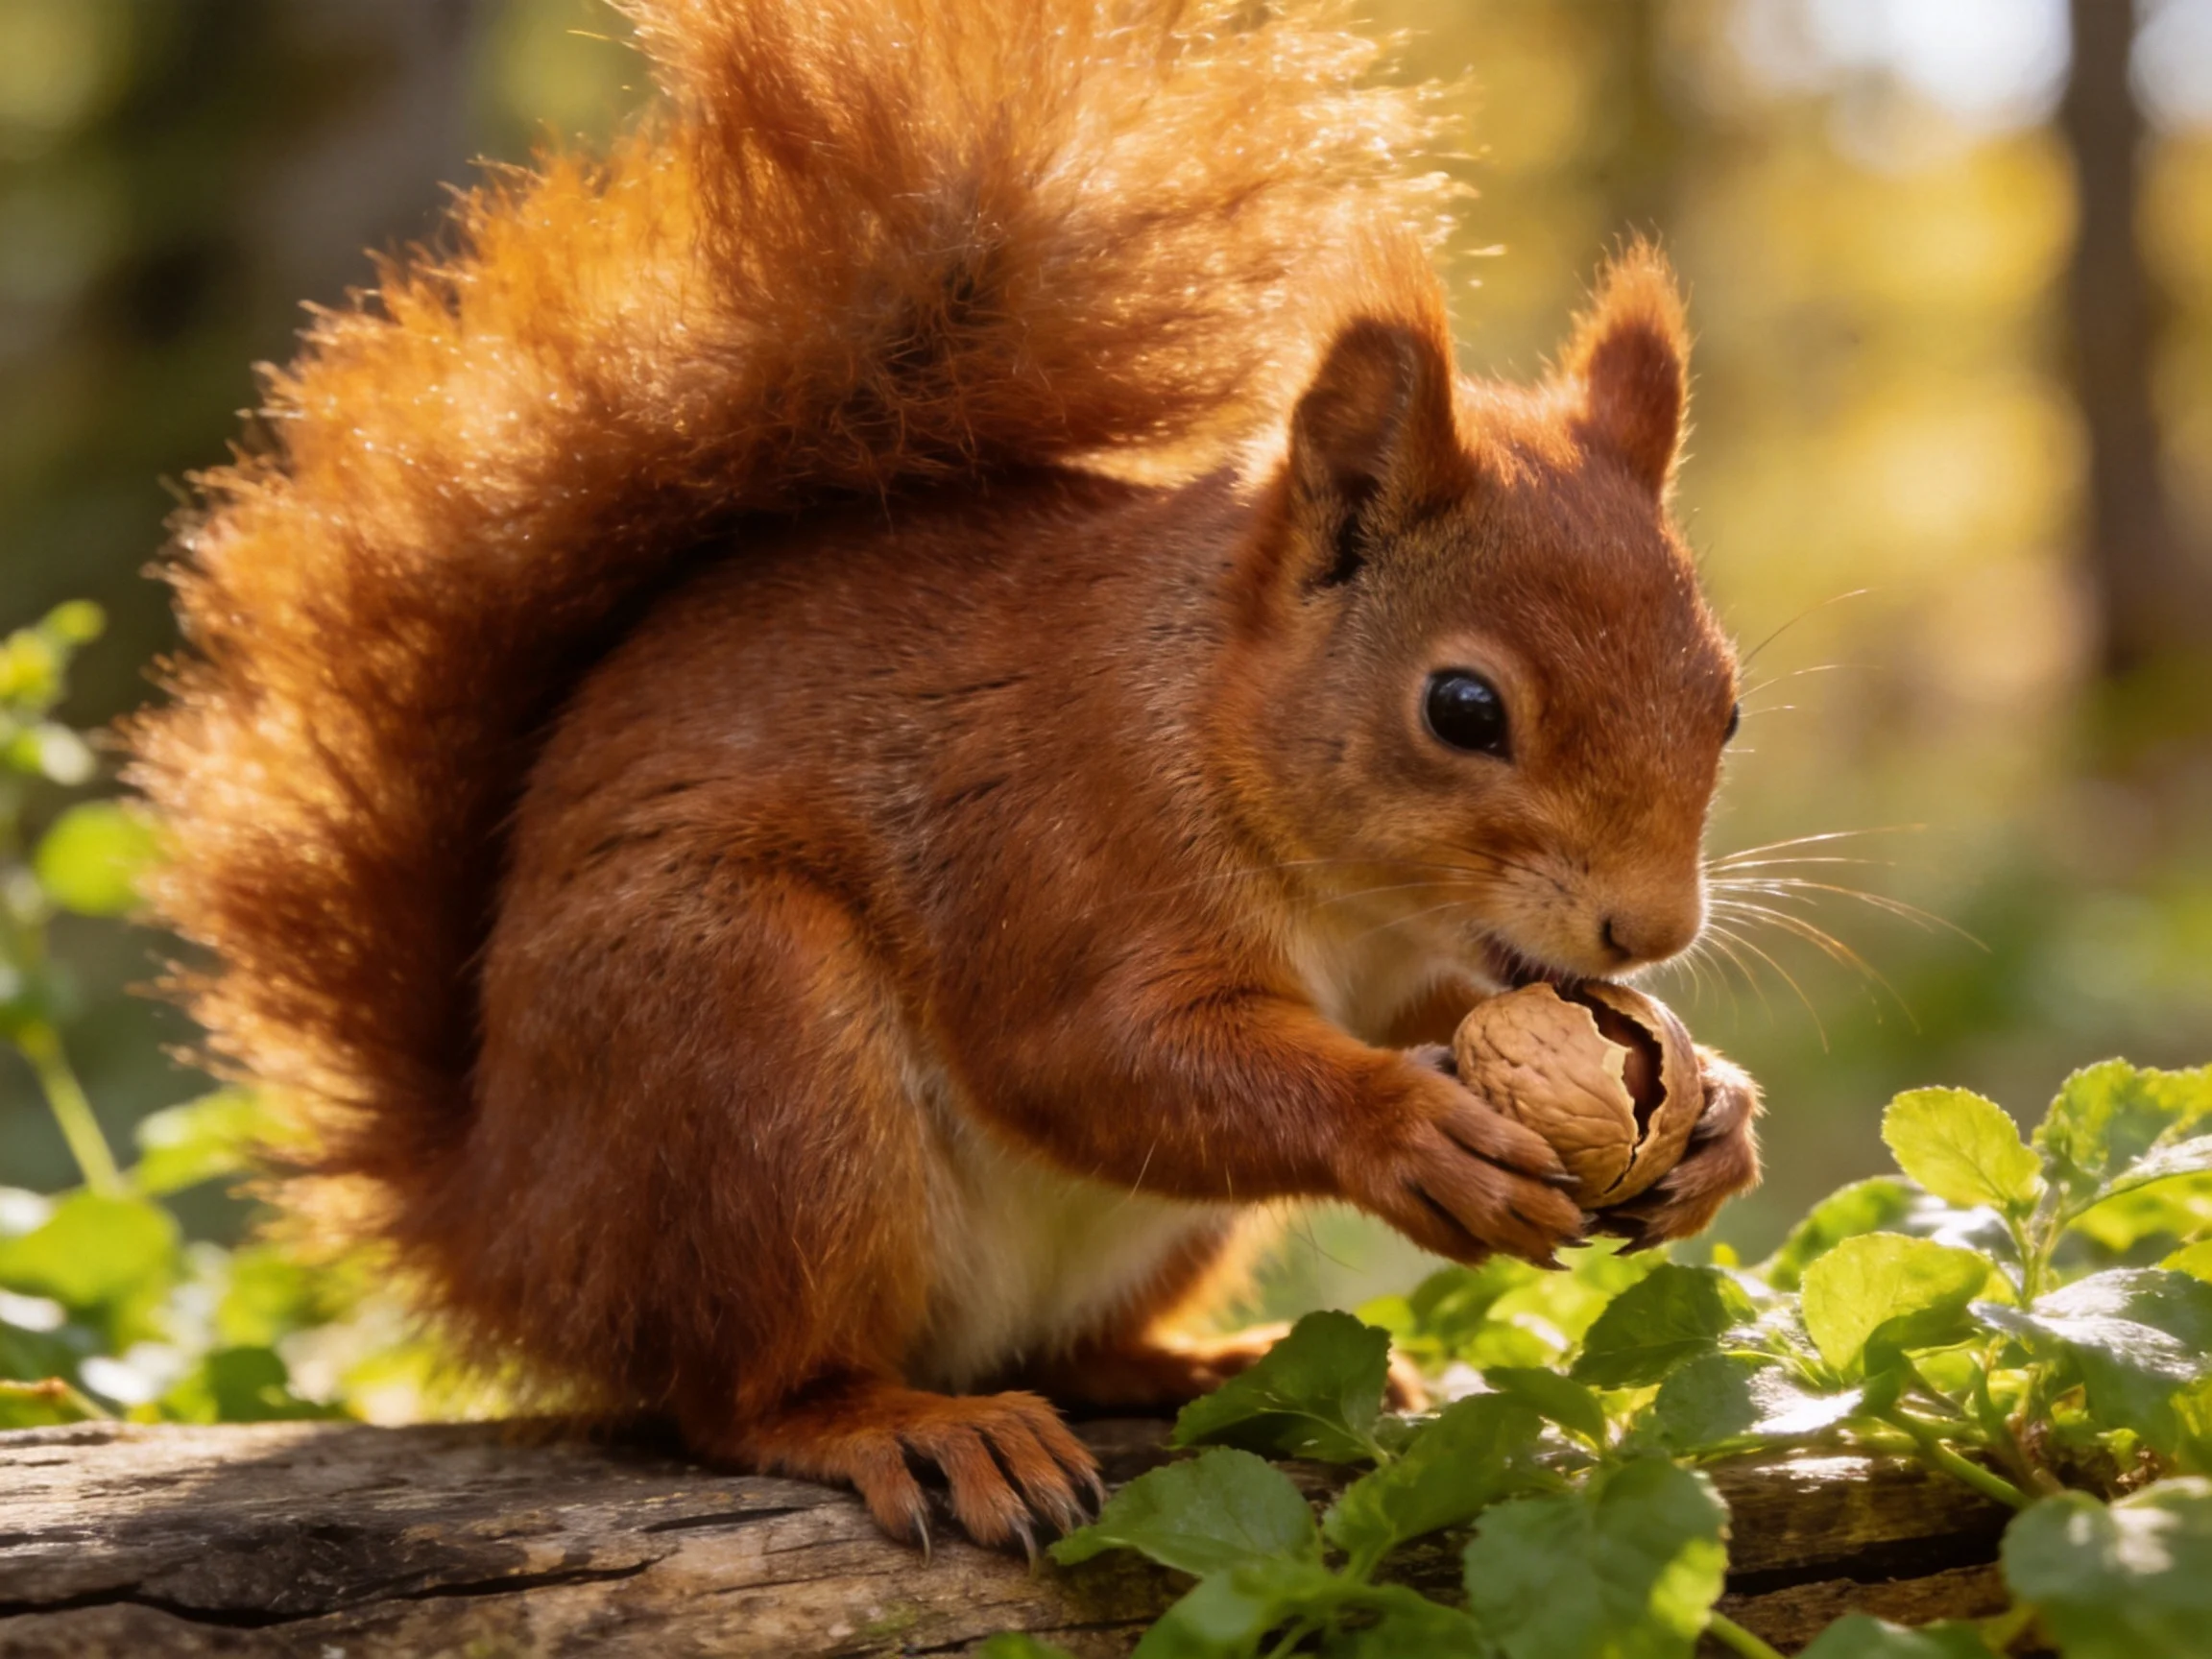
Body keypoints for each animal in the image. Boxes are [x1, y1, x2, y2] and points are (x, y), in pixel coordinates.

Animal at [130, 0, 1761, 1548]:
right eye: (1464, 708)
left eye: (1729, 706)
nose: (1650, 932)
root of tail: (508, 1228)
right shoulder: (1054, 839)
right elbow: (1095, 1055)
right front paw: (1408, 1129)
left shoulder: (1411, 968)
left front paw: (1719, 1115)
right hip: (745, 1054)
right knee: (742, 1392)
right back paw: (906, 1425)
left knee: (1067, 1351)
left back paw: (1198, 1366)